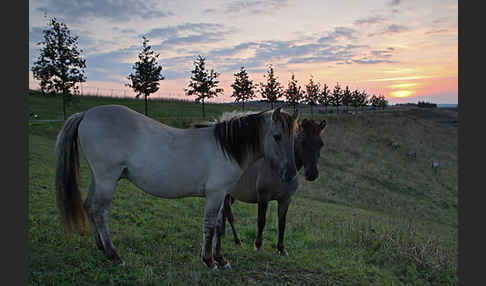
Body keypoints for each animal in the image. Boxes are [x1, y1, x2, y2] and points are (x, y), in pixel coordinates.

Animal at [223, 117, 326, 256]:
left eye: (321, 144)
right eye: (303, 142)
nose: (312, 174)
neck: (279, 170)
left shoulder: (285, 199)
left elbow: (282, 223)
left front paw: (281, 249)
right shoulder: (263, 197)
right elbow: (261, 221)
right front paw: (258, 245)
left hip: (231, 195)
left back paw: (223, 234)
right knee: (228, 214)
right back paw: (237, 240)